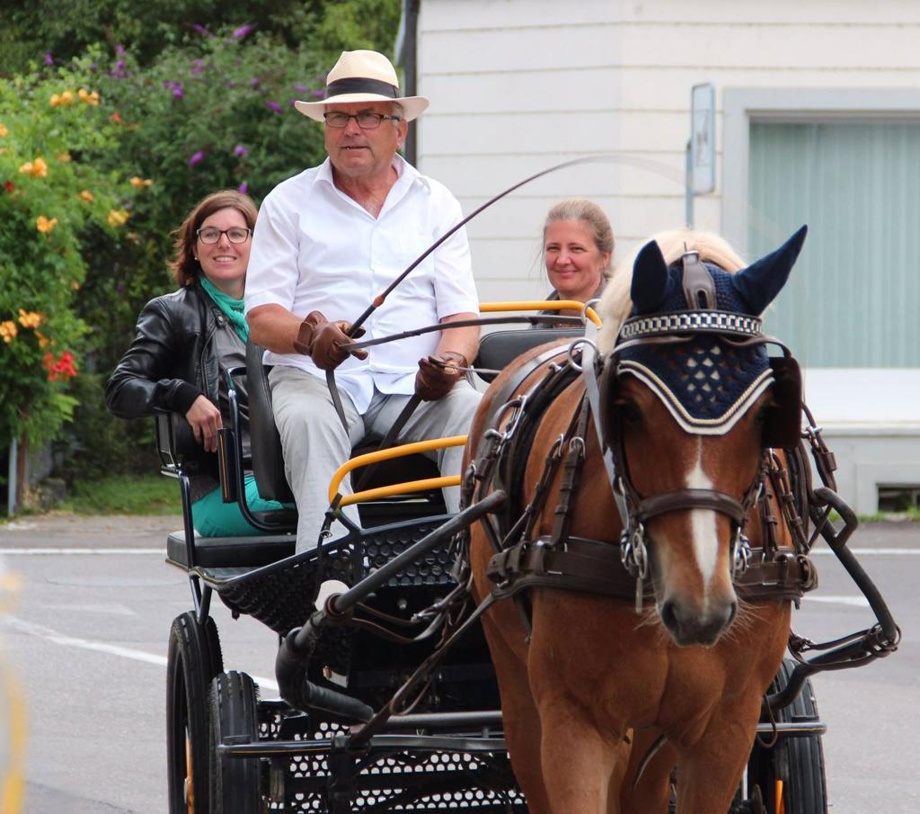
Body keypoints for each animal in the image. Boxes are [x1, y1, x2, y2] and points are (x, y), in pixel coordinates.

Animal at [463, 226, 814, 813]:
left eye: (768, 412)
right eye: (627, 409)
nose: (700, 607)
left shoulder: (726, 726)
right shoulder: (574, 721)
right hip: (516, 681)